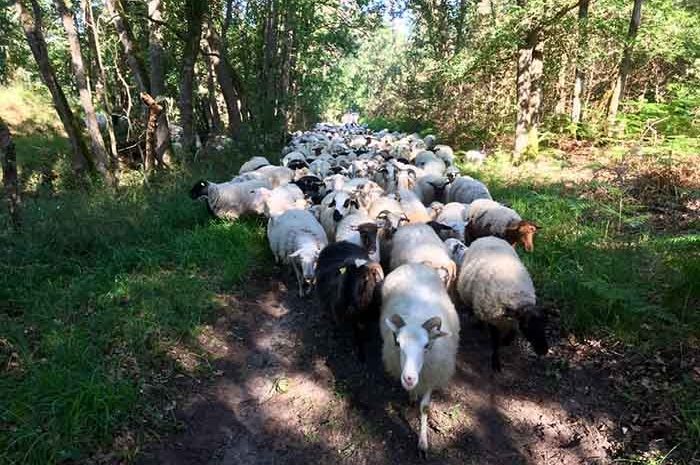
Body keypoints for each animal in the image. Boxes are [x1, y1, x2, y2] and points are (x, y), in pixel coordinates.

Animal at [381, 263, 460, 455]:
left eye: (426, 345)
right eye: (398, 343)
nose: (409, 378)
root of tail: (414, 264)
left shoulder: (432, 375)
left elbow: (424, 408)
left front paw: (423, 443)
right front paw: (411, 395)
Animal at [457, 236, 548, 371]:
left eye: (545, 324)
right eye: (526, 326)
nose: (544, 351)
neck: (516, 298)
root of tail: (489, 237)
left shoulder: (512, 320)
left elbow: (511, 335)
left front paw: (506, 341)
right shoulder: (493, 318)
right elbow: (495, 343)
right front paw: (496, 363)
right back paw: (478, 324)